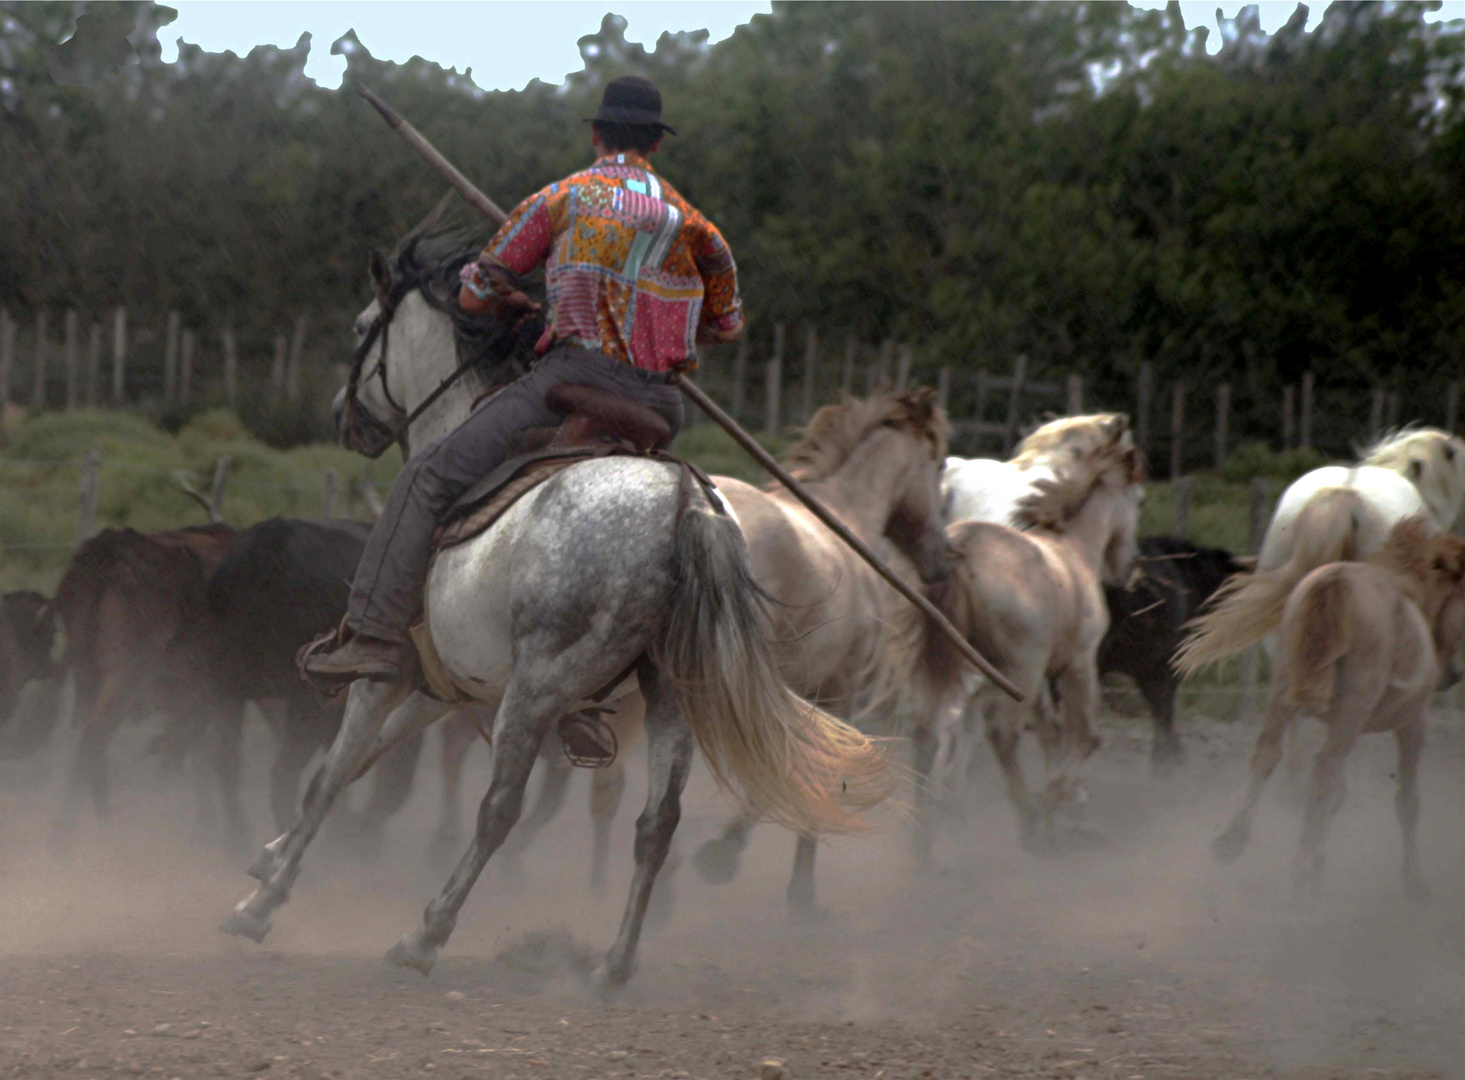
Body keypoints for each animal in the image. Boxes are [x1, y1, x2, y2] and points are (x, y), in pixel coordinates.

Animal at [225, 244, 890, 984]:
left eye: (363, 325)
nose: (345, 414)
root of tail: (681, 503)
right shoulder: (438, 682)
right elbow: (364, 760)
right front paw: (269, 859)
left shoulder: (386, 675)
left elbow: (332, 773)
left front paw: (259, 907)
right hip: (672, 695)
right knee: (656, 824)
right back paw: (614, 965)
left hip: (537, 688)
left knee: (500, 811)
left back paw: (424, 937)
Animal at [879, 422, 1142, 849]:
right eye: (1141, 500)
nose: (1128, 566)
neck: (1071, 550)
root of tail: (962, 549)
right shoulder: (1077, 663)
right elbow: (1084, 735)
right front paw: (1057, 801)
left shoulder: (1009, 678)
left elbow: (1043, 730)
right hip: (1022, 670)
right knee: (1000, 733)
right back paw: (1030, 820)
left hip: (946, 667)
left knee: (928, 732)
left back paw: (925, 839)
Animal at [1201, 518, 1465, 896]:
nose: (1452, 675)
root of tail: (1334, 582)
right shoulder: (1412, 722)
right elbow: (1407, 802)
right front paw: (1414, 882)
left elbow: (1338, 795)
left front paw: (1319, 861)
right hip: (1350, 713)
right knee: (1322, 772)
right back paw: (1299, 876)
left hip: (1284, 693)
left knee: (1269, 754)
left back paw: (1233, 842)